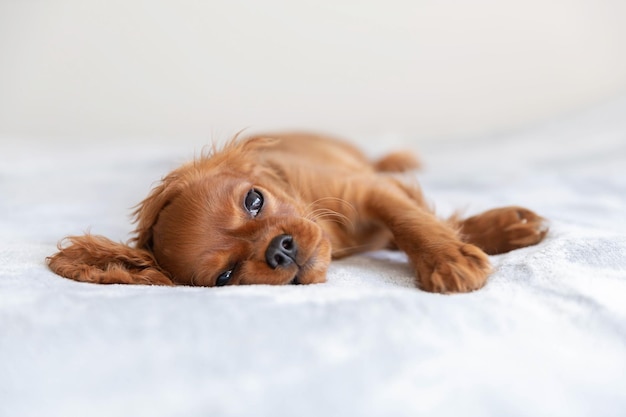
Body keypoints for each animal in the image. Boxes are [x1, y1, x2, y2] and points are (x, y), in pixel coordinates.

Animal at [46, 133, 544, 292]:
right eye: (225, 276)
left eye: (254, 200)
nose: (280, 250)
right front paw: (486, 236)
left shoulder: (366, 188)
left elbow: (411, 221)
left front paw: (450, 256)